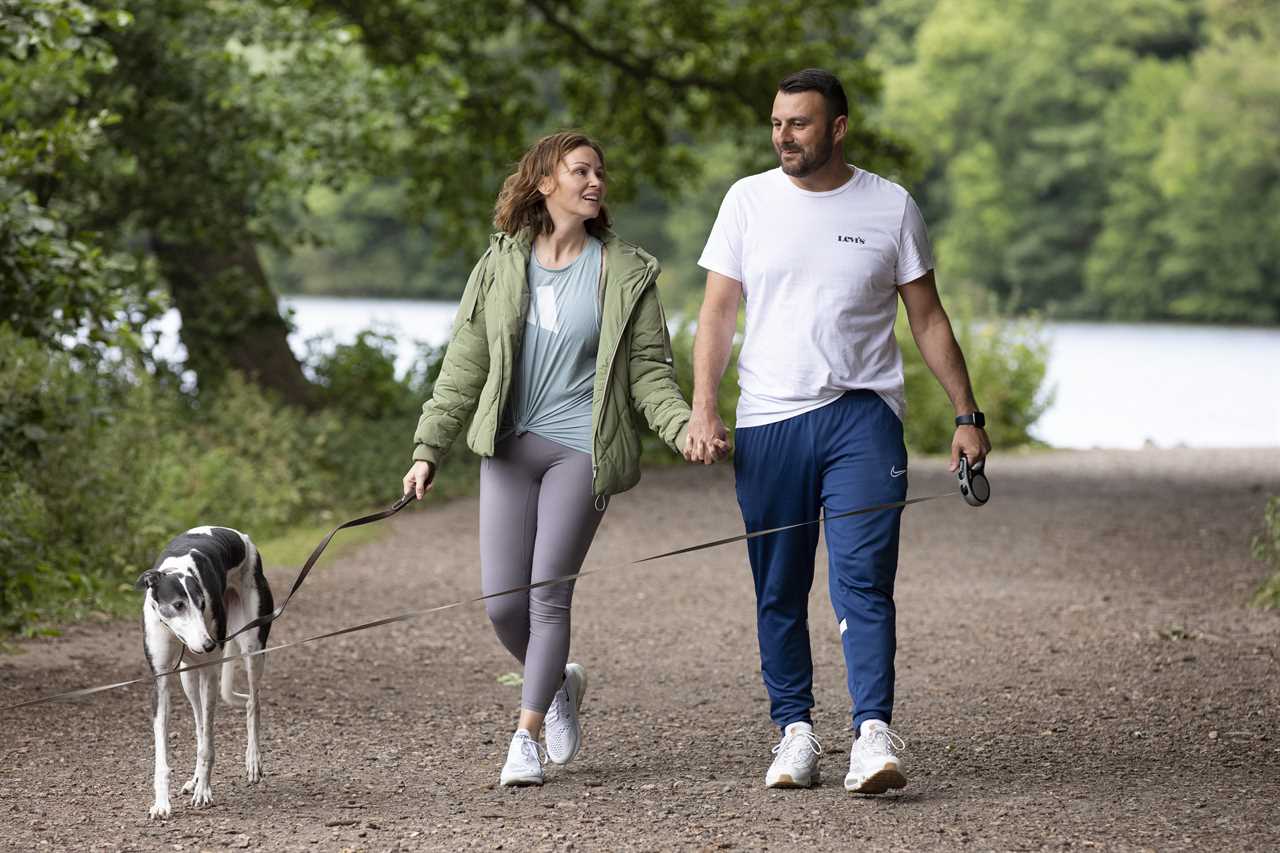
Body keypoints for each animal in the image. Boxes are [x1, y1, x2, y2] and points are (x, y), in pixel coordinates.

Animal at [135, 525, 275, 819]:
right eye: (178, 605)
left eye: (202, 604)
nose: (210, 644)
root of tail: (242, 537)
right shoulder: (161, 682)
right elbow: (165, 753)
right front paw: (162, 803)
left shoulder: (210, 673)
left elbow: (207, 745)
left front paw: (204, 792)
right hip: (188, 675)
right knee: (200, 723)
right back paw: (195, 778)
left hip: (253, 644)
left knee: (253, 703)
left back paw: (253, 760)